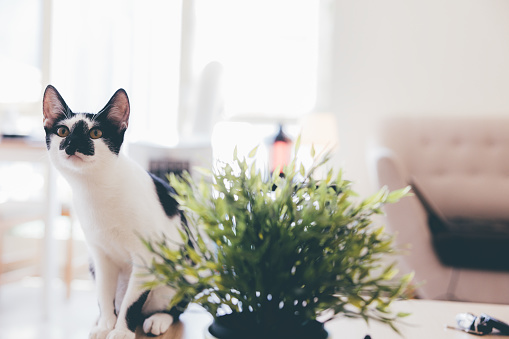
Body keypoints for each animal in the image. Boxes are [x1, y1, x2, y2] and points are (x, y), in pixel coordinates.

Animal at [42, 85, 185, 339]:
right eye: (62, 131)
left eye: (96, 133)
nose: (72, 144)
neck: (96, 191)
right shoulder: (100, 256)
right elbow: (103, 294)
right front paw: (106, 324)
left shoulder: (146, 258)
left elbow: (132, 302)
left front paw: (121, 331)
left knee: (176, 306)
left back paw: (158, 319)